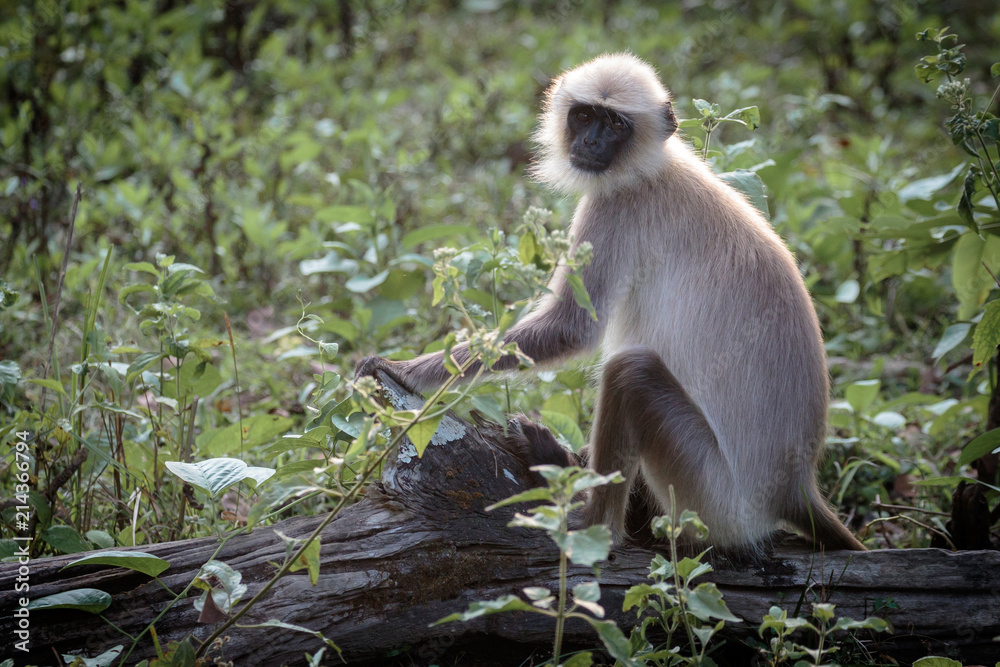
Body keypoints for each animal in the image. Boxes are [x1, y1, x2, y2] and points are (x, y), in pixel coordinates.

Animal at [356, 53, 864, 552]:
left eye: (616, 124)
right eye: (584, 116)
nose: (593, 141)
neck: (650, 167)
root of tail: (794, 490)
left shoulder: (616, 205)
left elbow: (569, 328)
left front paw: (402, 369)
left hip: (714, 497)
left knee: (631, 373)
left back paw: (588, 518)